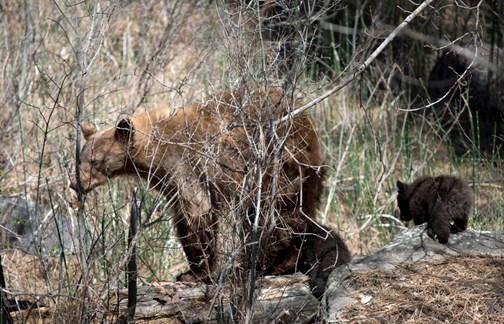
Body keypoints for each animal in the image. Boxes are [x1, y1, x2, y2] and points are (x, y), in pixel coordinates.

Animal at [70, 87, 350, 288]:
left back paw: (264, 265)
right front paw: (189, 269)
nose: (75, 183)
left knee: (276, 217)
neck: (154, 150)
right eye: (80, 158)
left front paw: (197, 273)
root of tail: (312, 132)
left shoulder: (184, 164)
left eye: (94, 160)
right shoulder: (169, 181)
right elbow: (182, 217)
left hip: (278, 169)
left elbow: (198, 210)